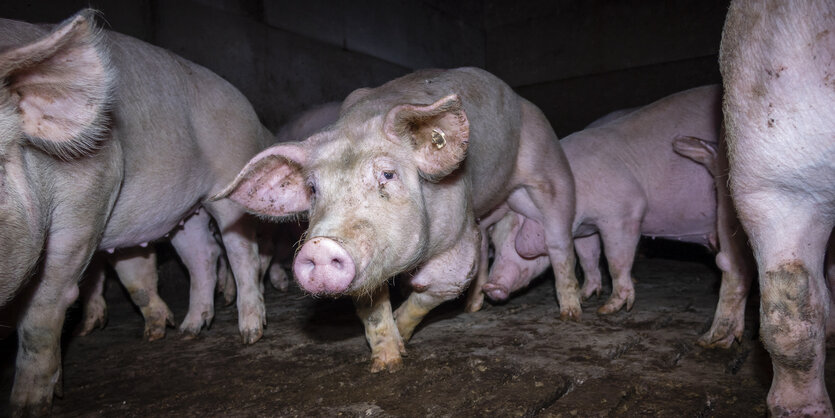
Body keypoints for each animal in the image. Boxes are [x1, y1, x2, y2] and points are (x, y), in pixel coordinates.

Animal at [0, 10, 272, 414]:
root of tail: (245, 104)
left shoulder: (92, 191)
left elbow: (42, 309)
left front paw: (28, 406)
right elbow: (132, 274)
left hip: (229, 178)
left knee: (242, 253)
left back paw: (250, 334)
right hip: (186, 211)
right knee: (202, 255)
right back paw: (190, 331)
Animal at [216, 68, 580, 372]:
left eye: (388, 175)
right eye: (313, 188)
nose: (320, 245)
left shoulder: (456, 239)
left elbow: (436, 287)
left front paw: (404, 329)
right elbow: (373, 310)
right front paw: (387, 363)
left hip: (550, 170)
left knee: (558, 242)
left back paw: (570, 313)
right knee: (487, 239)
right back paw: (475, 306)